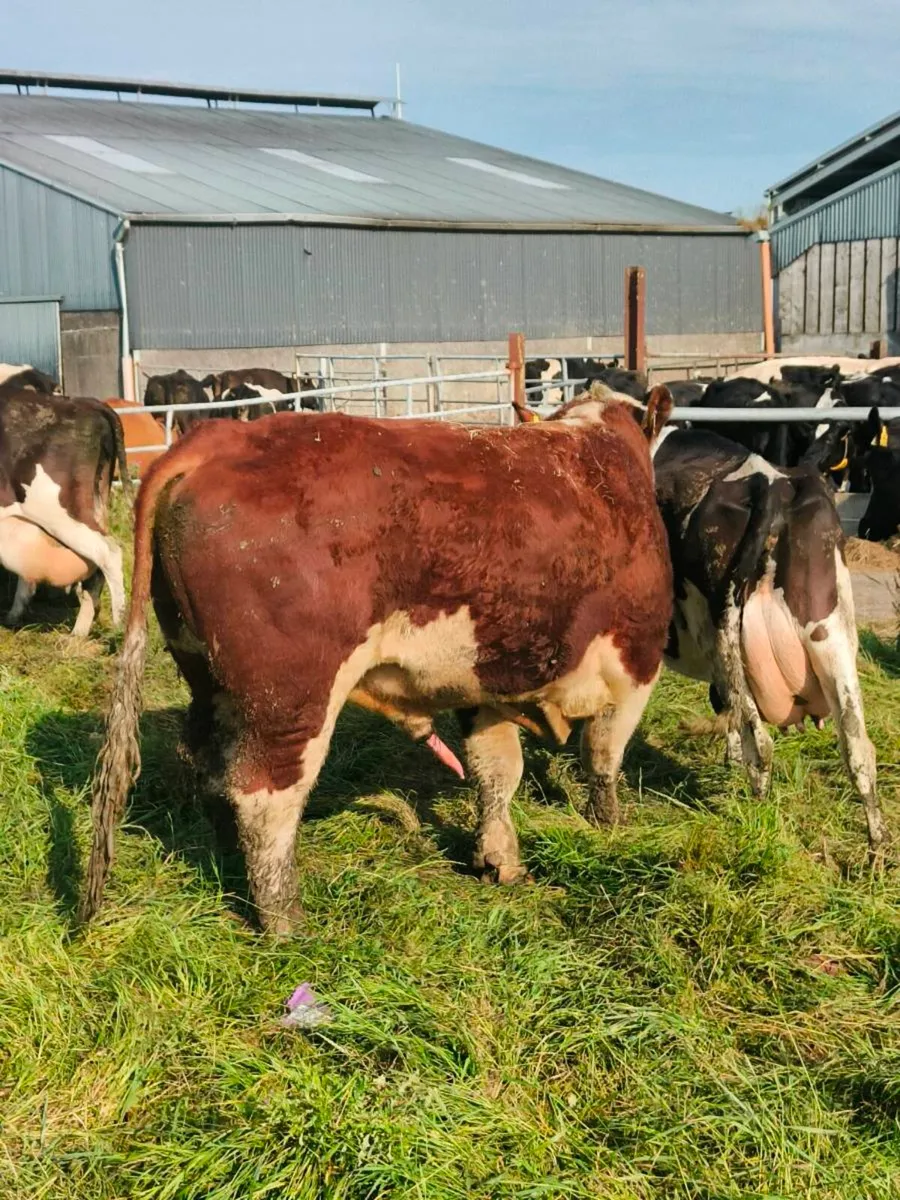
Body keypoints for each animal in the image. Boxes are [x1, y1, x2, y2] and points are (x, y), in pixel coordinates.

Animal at [80, 384, 674, 932]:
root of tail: (217, 440)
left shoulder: (486, 676)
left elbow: (496, 770)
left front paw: (499, 857)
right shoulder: (635, 663)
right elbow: (603, 755)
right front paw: (607, 826)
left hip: (207, 676)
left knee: (206, 766)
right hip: (291, 696)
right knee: (263, 795)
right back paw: (285, 921)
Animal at [652, 425, 885, 854]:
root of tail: (773, 481)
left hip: (728, 638)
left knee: (759, 744)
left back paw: (757, 826)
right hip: (831, 634)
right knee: (859, 749)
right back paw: (878, 848)